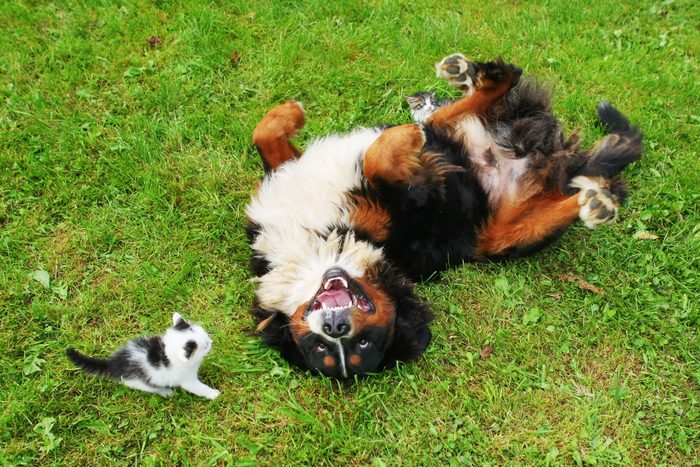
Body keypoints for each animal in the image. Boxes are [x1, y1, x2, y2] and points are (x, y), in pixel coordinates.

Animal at [66, 312, 220, 400]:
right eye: (206, 345)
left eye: (207, 336)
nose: (212, 341)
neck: (166, 352)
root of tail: (113, 363)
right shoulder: (187, 379)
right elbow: (198, 388)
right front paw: (214, 394)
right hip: (139, 382)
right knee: (153, 388)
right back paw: (166, 392)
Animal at [243, 54, 644, 378]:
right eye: (323, 349)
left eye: (361, 344)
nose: (336, 326)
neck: (321, 243)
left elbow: (268, 132)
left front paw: (291, 113)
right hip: (502, 239)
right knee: (569, 200)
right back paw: (598, 200)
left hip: (460, 137)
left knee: (462, 106)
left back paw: (466, 76)